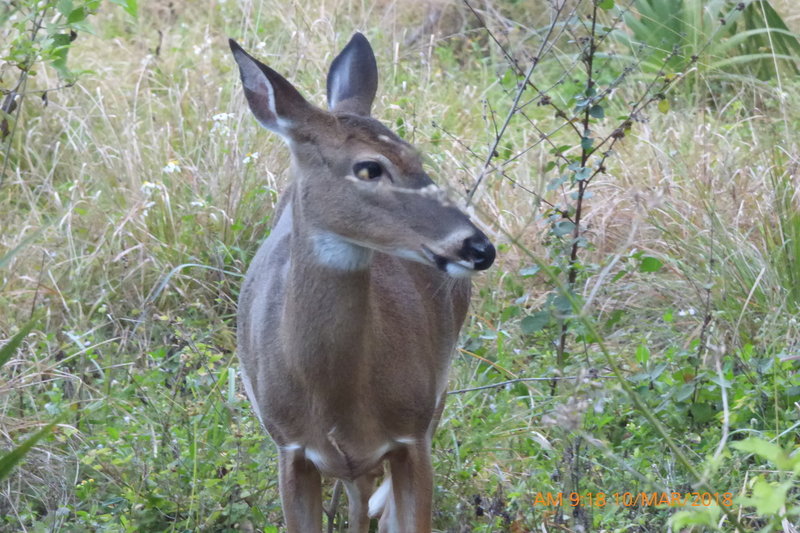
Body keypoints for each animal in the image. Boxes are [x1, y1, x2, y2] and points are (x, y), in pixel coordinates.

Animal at [230, 34, 494, 532]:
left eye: (416, 157)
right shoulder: (289, 448)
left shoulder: (412, 434)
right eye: (369, 168)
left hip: (441, 378)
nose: (480, 248)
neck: (337, 402)